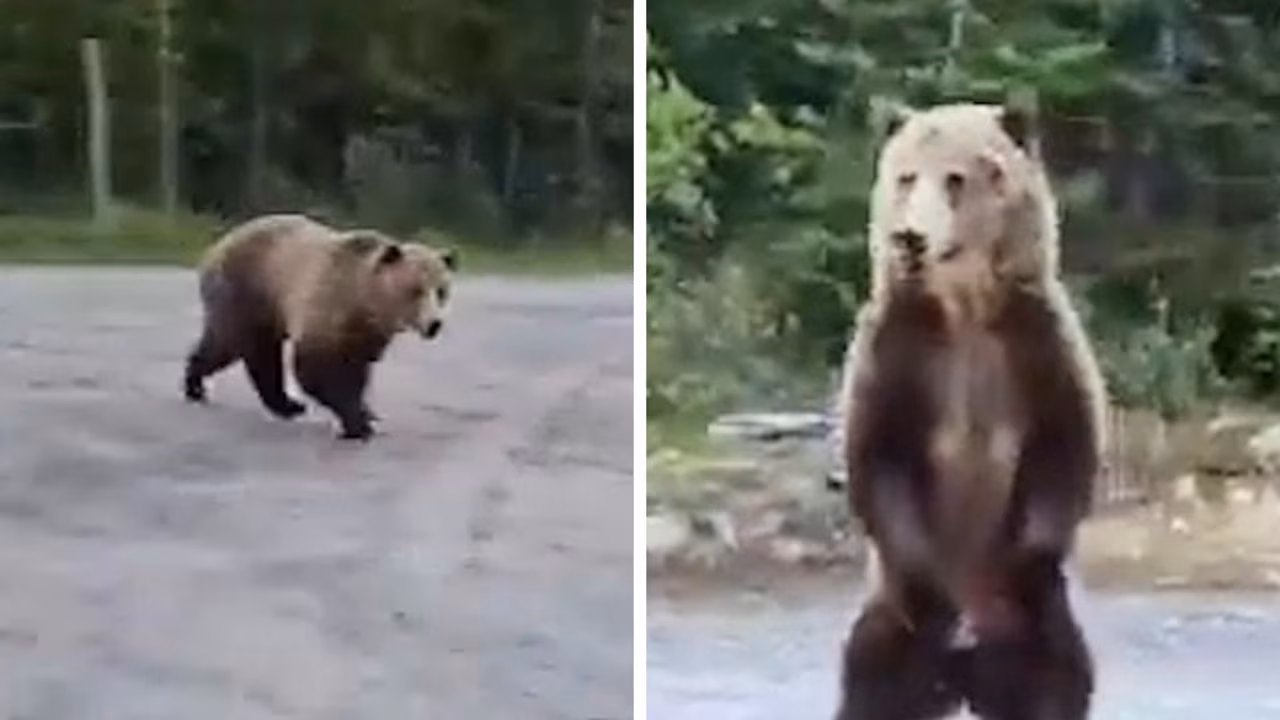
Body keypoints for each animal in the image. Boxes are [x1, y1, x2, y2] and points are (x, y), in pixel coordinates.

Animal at [183, 213, 458, 441]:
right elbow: (316, 369)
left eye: (442, 290)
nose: (434, 324)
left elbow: (357, 371)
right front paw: (358, 423)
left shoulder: (366, 335)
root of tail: (218, 244)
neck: (363, 301)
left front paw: (365, 412)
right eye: (415, 290)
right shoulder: (327, 306)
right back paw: (198, 386)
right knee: (233, 345)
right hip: (248, 291)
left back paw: (285, 405)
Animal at [833, 101, 1107, 720]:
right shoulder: (901, 349)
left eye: (956, 178)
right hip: (888, 627)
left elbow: (1063, 443)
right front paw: (930, 591)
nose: (909, 238)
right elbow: (879, 451)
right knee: (871, 679)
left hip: (1039, 638)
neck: (964, 307)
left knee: (1059, 679)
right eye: (906, 177)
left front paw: (1028, 566)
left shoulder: (1034, 344)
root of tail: (962, 676)